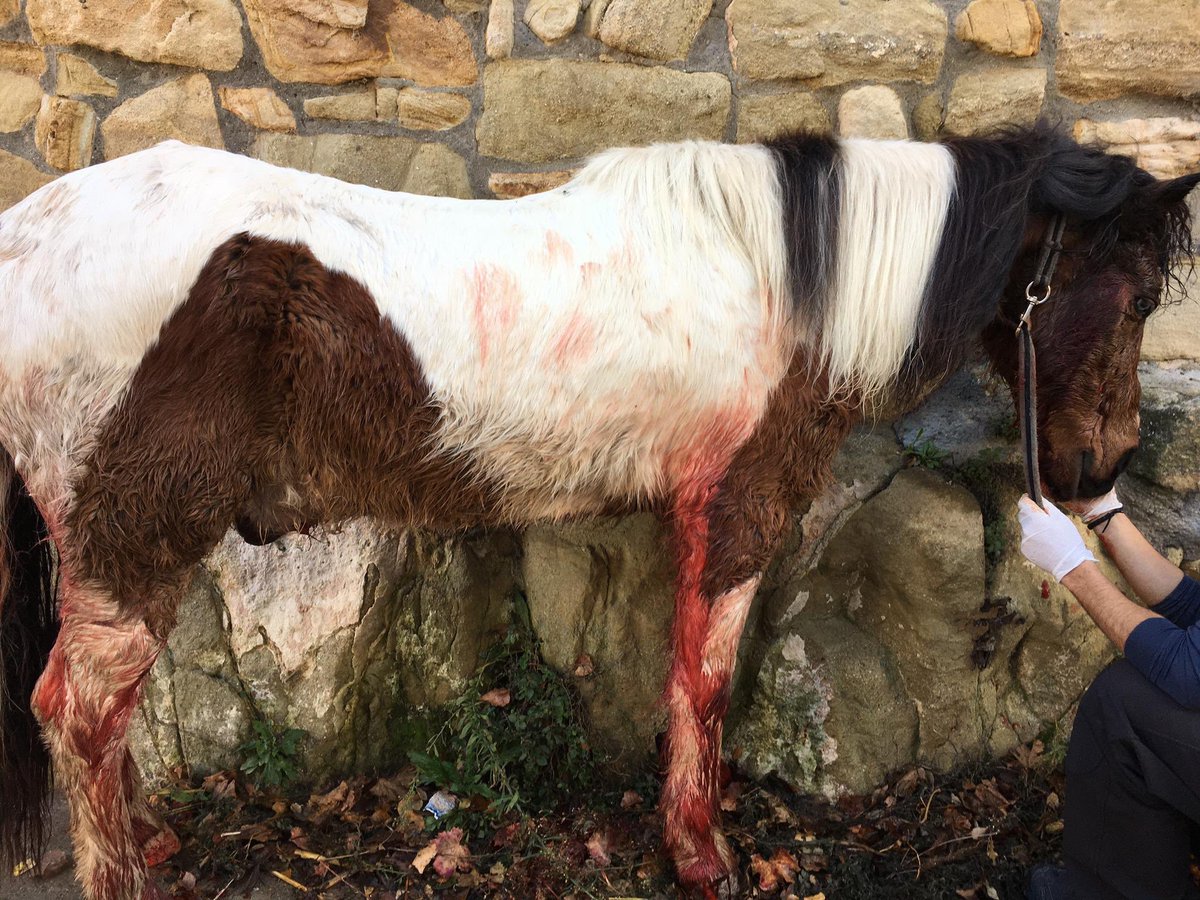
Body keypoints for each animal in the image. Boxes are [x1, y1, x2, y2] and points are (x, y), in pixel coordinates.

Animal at [0, 127, 1195, 900]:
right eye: (1139, 294)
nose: (1099, 469)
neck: (788, 281)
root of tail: (26, 237)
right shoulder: (739, 503)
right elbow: (704, 678)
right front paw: (701, 855)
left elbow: (684, 670)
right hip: (136, 532)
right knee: (79, 710)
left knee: (96, 715)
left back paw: (150, 841)